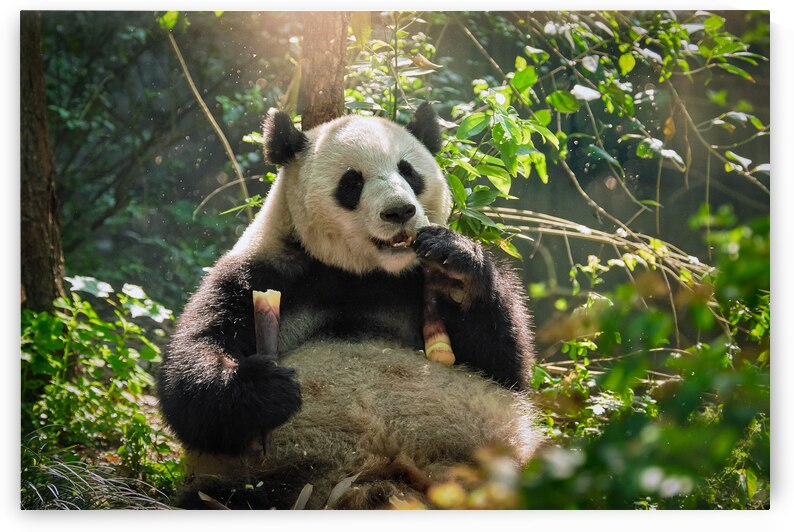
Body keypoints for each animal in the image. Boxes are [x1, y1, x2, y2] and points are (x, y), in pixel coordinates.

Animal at [157, 103, 542, 509]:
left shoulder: (412, 284)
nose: (399, 212)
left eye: (408, 171)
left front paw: (455, 268)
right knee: (224, 496)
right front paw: (267, 388)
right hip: (264, 480)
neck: (361, 273)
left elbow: (502, 367)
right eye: (352, 182)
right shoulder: (258, 275)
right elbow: (191, 373)